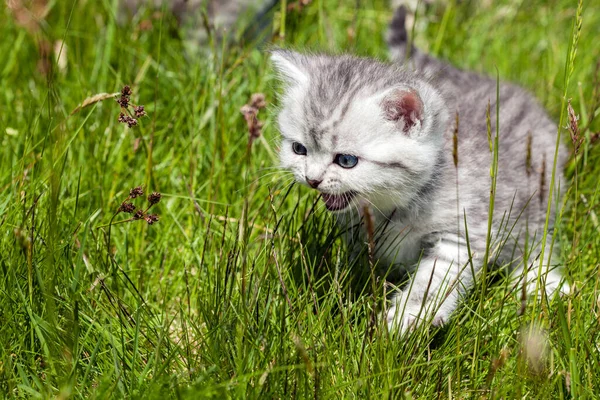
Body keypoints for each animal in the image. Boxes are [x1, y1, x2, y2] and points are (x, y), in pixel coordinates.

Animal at [272, 7, 568, 334]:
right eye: (299, 149)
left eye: (346, 160)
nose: (312, 179)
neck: (398, 205)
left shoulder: (462, 236)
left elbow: (433, 281)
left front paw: (407, 317)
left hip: (541, 193)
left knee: (538, 240)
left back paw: (543, 282)